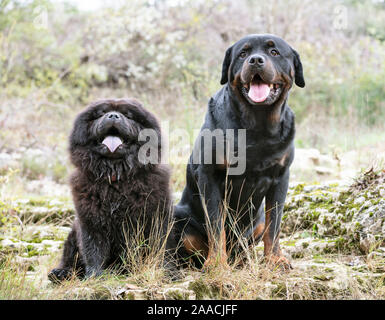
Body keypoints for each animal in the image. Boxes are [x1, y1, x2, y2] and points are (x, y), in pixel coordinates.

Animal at [47, 99, 176, 282]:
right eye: (101, 113)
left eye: (128, 115)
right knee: (70, 258)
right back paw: (60, 272)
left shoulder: (157, 218)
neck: (116, 177)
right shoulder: (90, 222)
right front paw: (94, 276)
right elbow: (93, 251)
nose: (113, 115)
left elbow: (161, 247)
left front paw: (166, 272)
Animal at [172, 34, 304, 270]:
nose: (256, 60)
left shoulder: (281, 177)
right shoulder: (210, 176)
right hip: (176, 217)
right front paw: (216, 263)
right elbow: (216, 225)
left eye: (274, 52)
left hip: (256, 222)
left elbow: (274, 224)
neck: (257, 124)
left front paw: (274, 259)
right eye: (243, 54)